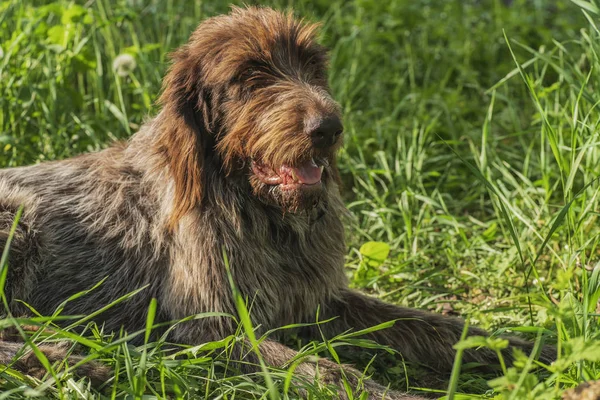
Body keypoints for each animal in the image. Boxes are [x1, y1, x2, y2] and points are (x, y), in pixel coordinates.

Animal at [0, 6, 552, 400]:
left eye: (312, 67)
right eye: (249, 77)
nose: (329, 128)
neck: (262, 216)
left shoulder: (321, 301)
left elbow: (435, 326)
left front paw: (528, 348)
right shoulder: (207, 329)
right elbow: (328, 371)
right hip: (18, 222)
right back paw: (70, 356)